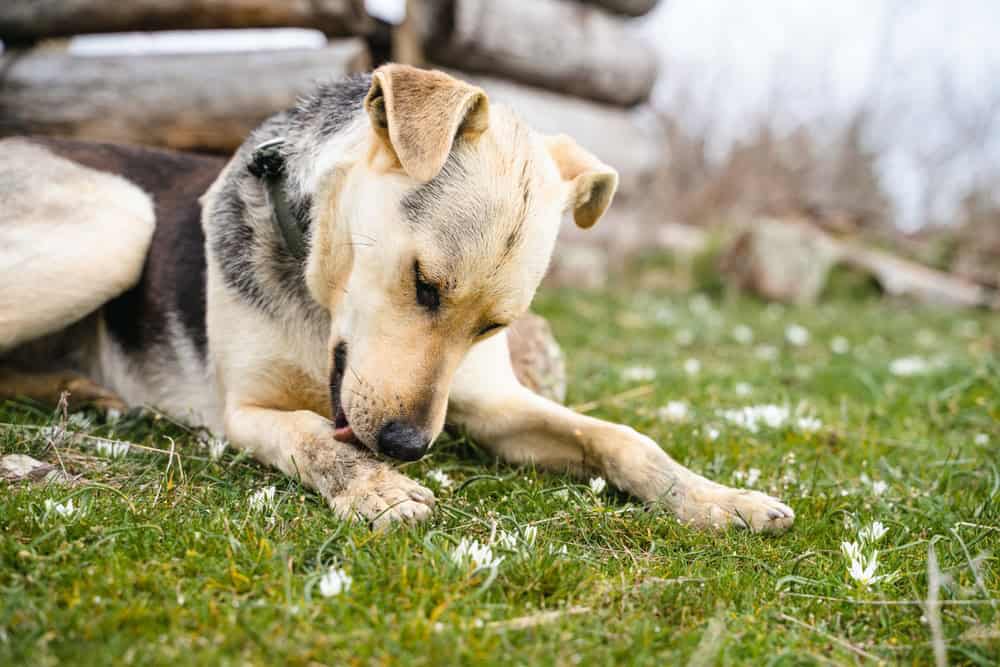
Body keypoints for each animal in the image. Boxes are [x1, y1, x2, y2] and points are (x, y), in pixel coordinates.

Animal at [1, 64, 796, 532]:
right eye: (424, 284)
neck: (318, 303)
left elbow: (621, 438)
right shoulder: (242, 411)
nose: (408, 449)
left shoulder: (492, 403)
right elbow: (311, 434)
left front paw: (717, 497)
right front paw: (375, 488)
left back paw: (83, 389)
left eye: (494, 326)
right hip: (118, 222)